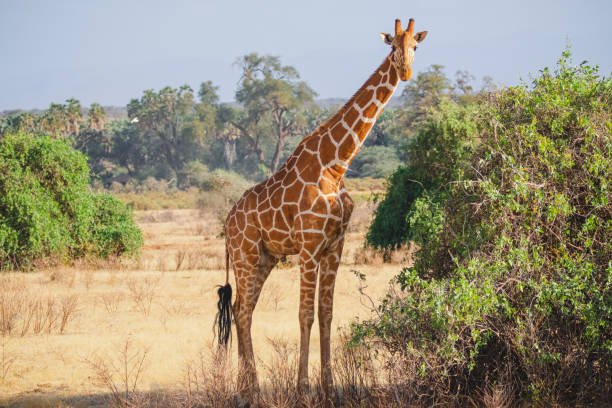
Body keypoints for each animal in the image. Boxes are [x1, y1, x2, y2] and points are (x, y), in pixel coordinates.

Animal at [215, 17, 426, 404]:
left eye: (415, 47)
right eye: (392, 46)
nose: (405, 71)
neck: (337, 165)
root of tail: (227, 224)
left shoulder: (335, 245)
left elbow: (326, 314)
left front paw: (330, 390)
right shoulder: (310, 245)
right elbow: (305, 315)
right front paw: (303, 390)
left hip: (265, 257)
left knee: (241, 311)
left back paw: (248, 391)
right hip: (245, 255)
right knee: (242, 311)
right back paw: (248, 392)